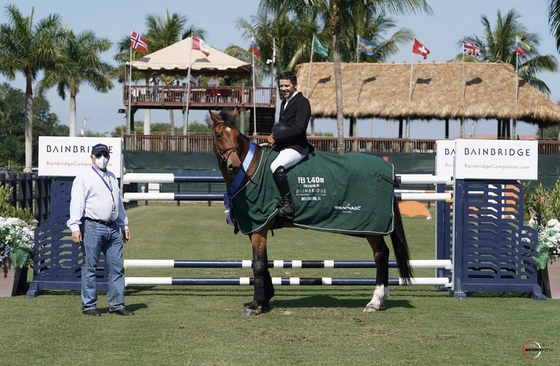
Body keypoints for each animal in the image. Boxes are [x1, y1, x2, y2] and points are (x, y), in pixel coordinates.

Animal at [209, 108, 412, 314]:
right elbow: (263, 263)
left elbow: (258, 264)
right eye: (219, 135)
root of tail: (385, 170)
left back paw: (375, 301)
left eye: (236, 136)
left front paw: (255, 304)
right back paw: (380, 300)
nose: (234, 165)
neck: (251, 168)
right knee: (382, 253)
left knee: (380, 255)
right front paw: (265, 301)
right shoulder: (258, 228)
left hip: (372, 228)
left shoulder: (259, 227)